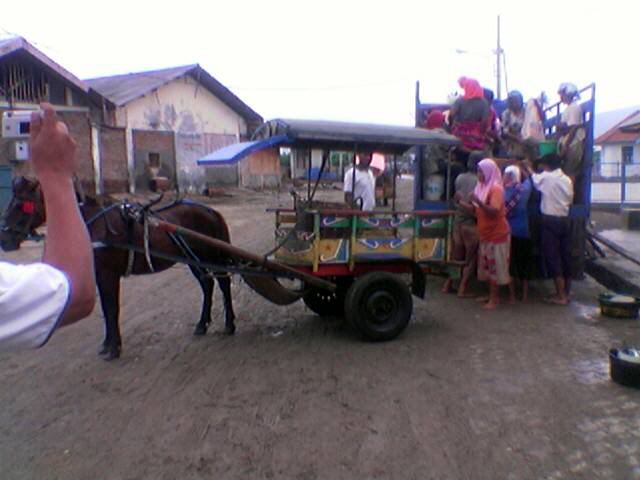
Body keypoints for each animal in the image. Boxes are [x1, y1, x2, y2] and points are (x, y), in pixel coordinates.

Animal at [0, 177, 235, 360]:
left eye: (21, 204)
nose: (5, 240)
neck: (94, 226)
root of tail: (211, 211)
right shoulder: (98, 275)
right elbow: (106, 309)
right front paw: (107, 344)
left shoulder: (107, 274)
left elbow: (112, 308)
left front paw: (114, 348)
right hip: (193, 259)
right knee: (207, 284)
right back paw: (202, 324)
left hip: (209, 256)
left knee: (223, 283)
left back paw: (229, 324)